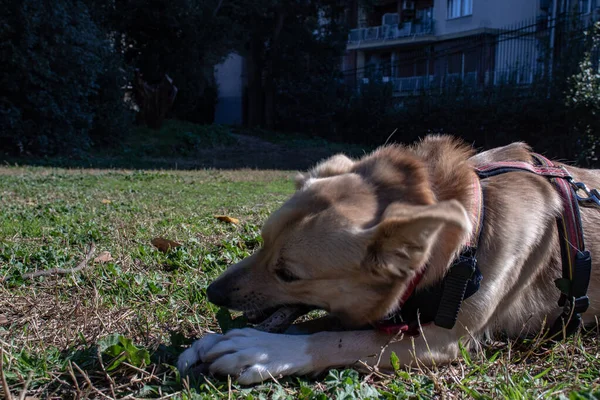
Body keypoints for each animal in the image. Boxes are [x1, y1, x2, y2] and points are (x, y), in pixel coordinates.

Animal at [178, 135, 600, 384]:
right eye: (260, 243)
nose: (212, 293)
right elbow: (318, 325)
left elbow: (340, 339)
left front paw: (261, 350)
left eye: (287, 274)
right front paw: (215, 339)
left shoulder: (443, 342)